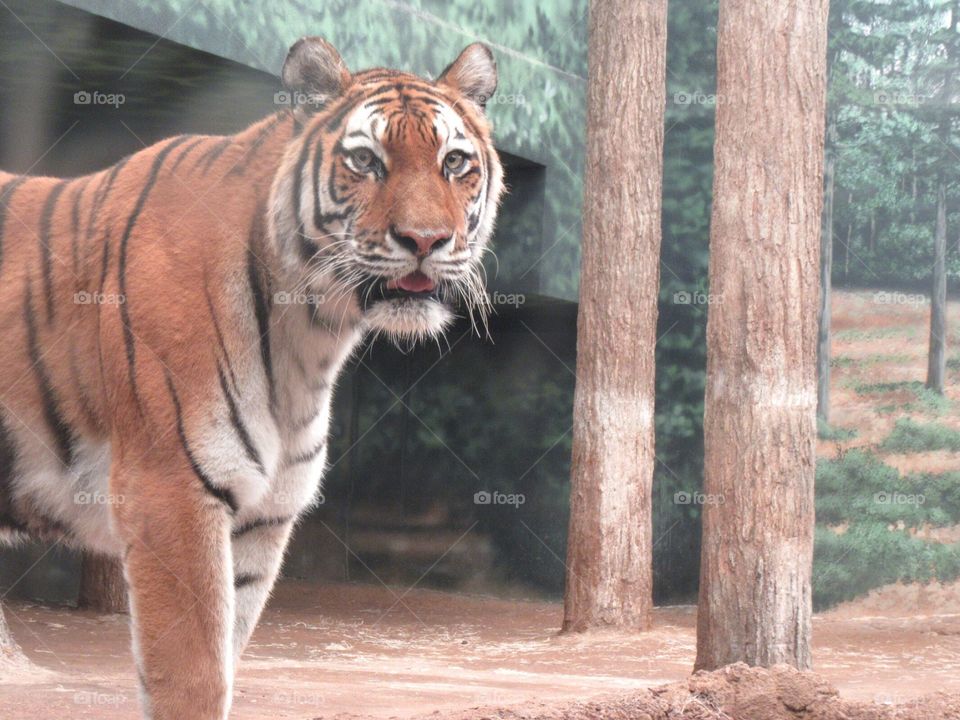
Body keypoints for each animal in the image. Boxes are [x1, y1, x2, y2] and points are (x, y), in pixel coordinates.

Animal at [0, 37, 504, 719]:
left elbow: (226, 656)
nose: (425, 240)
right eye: (366, 161)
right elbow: (192, 677)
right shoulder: (169, 495)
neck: (311, 338)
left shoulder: (261, 519)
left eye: (454, 162)